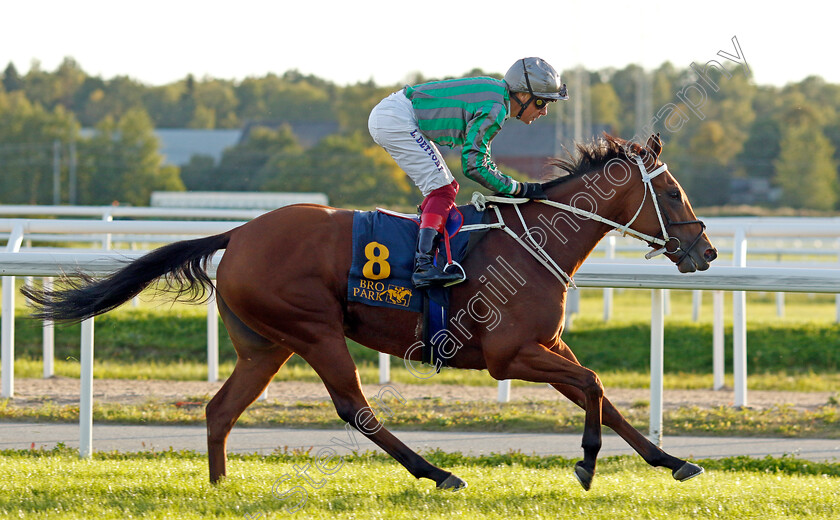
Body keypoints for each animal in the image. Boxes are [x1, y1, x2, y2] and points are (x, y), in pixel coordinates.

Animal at [21, 133, 716, 492]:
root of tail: (238, 233)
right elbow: (594, 386)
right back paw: (437, 473)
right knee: (356, 408)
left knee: (221, 409)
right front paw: (587, 463)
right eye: (673, 191)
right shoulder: (509, 356)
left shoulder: (547, 347)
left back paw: (219, 488)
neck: (534, 241)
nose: (705, 250)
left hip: (266, 344)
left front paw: (672, 461)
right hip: (314, 330)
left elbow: (605, 397)